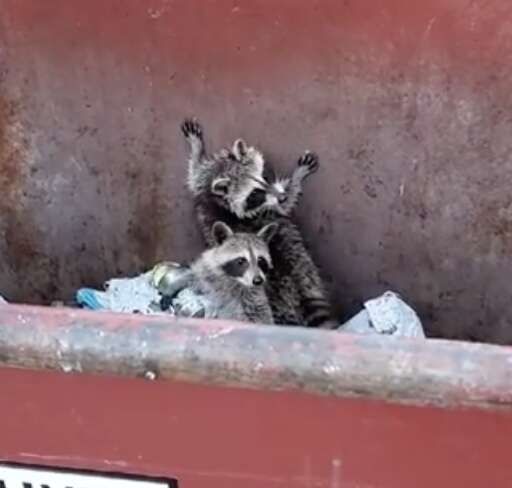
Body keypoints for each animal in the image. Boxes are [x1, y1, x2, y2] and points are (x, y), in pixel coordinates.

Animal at [181, 118, 336, 330]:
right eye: (255, 194)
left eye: (264, 177)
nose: (281, 195)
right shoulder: (205, 180)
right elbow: (193, 172)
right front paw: (196, 147)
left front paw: (295, 179)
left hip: (304, 266)